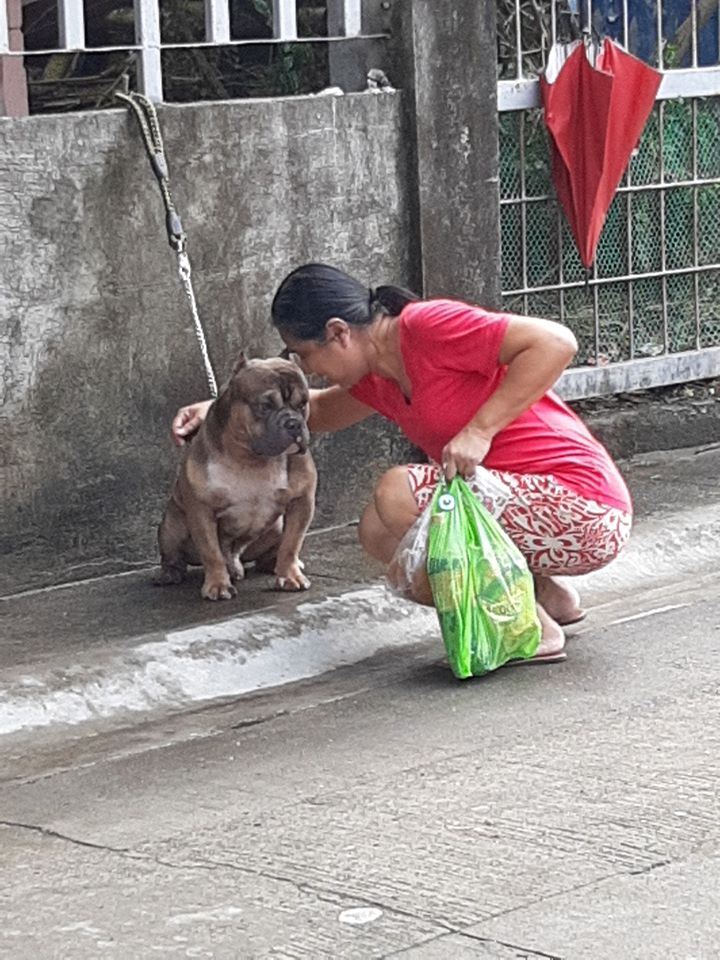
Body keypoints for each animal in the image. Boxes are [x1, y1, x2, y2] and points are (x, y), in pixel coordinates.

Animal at [156, 353, 317, 600]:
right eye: (265, 406)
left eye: (303, 404)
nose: (294, 423)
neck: (251, 458)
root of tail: (237, 558)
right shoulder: (201, 511)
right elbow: (211, 551)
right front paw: (217, 585)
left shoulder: (302, 503)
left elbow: (291, 544)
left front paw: (290, 576)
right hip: (172, 526)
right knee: (176, 555)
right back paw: (170, 573)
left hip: (276, 527)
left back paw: (271, 564)